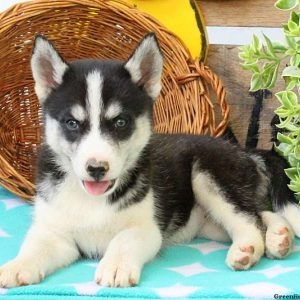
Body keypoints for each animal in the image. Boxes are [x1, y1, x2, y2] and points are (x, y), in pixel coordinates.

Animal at [0, 33, 300, 288]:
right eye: (72, 123)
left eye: (120, 122)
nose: (96, 168)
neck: (94, 200)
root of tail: (244, 151)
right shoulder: (56, 233)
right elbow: (37, 247)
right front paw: (17, 266)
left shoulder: (146, 228)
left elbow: (124, 238)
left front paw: (116, 267)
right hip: (210, 222)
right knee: (260, 214)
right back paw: (279, 237)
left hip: (208, 175)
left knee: (249, 219)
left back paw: (249, 248)